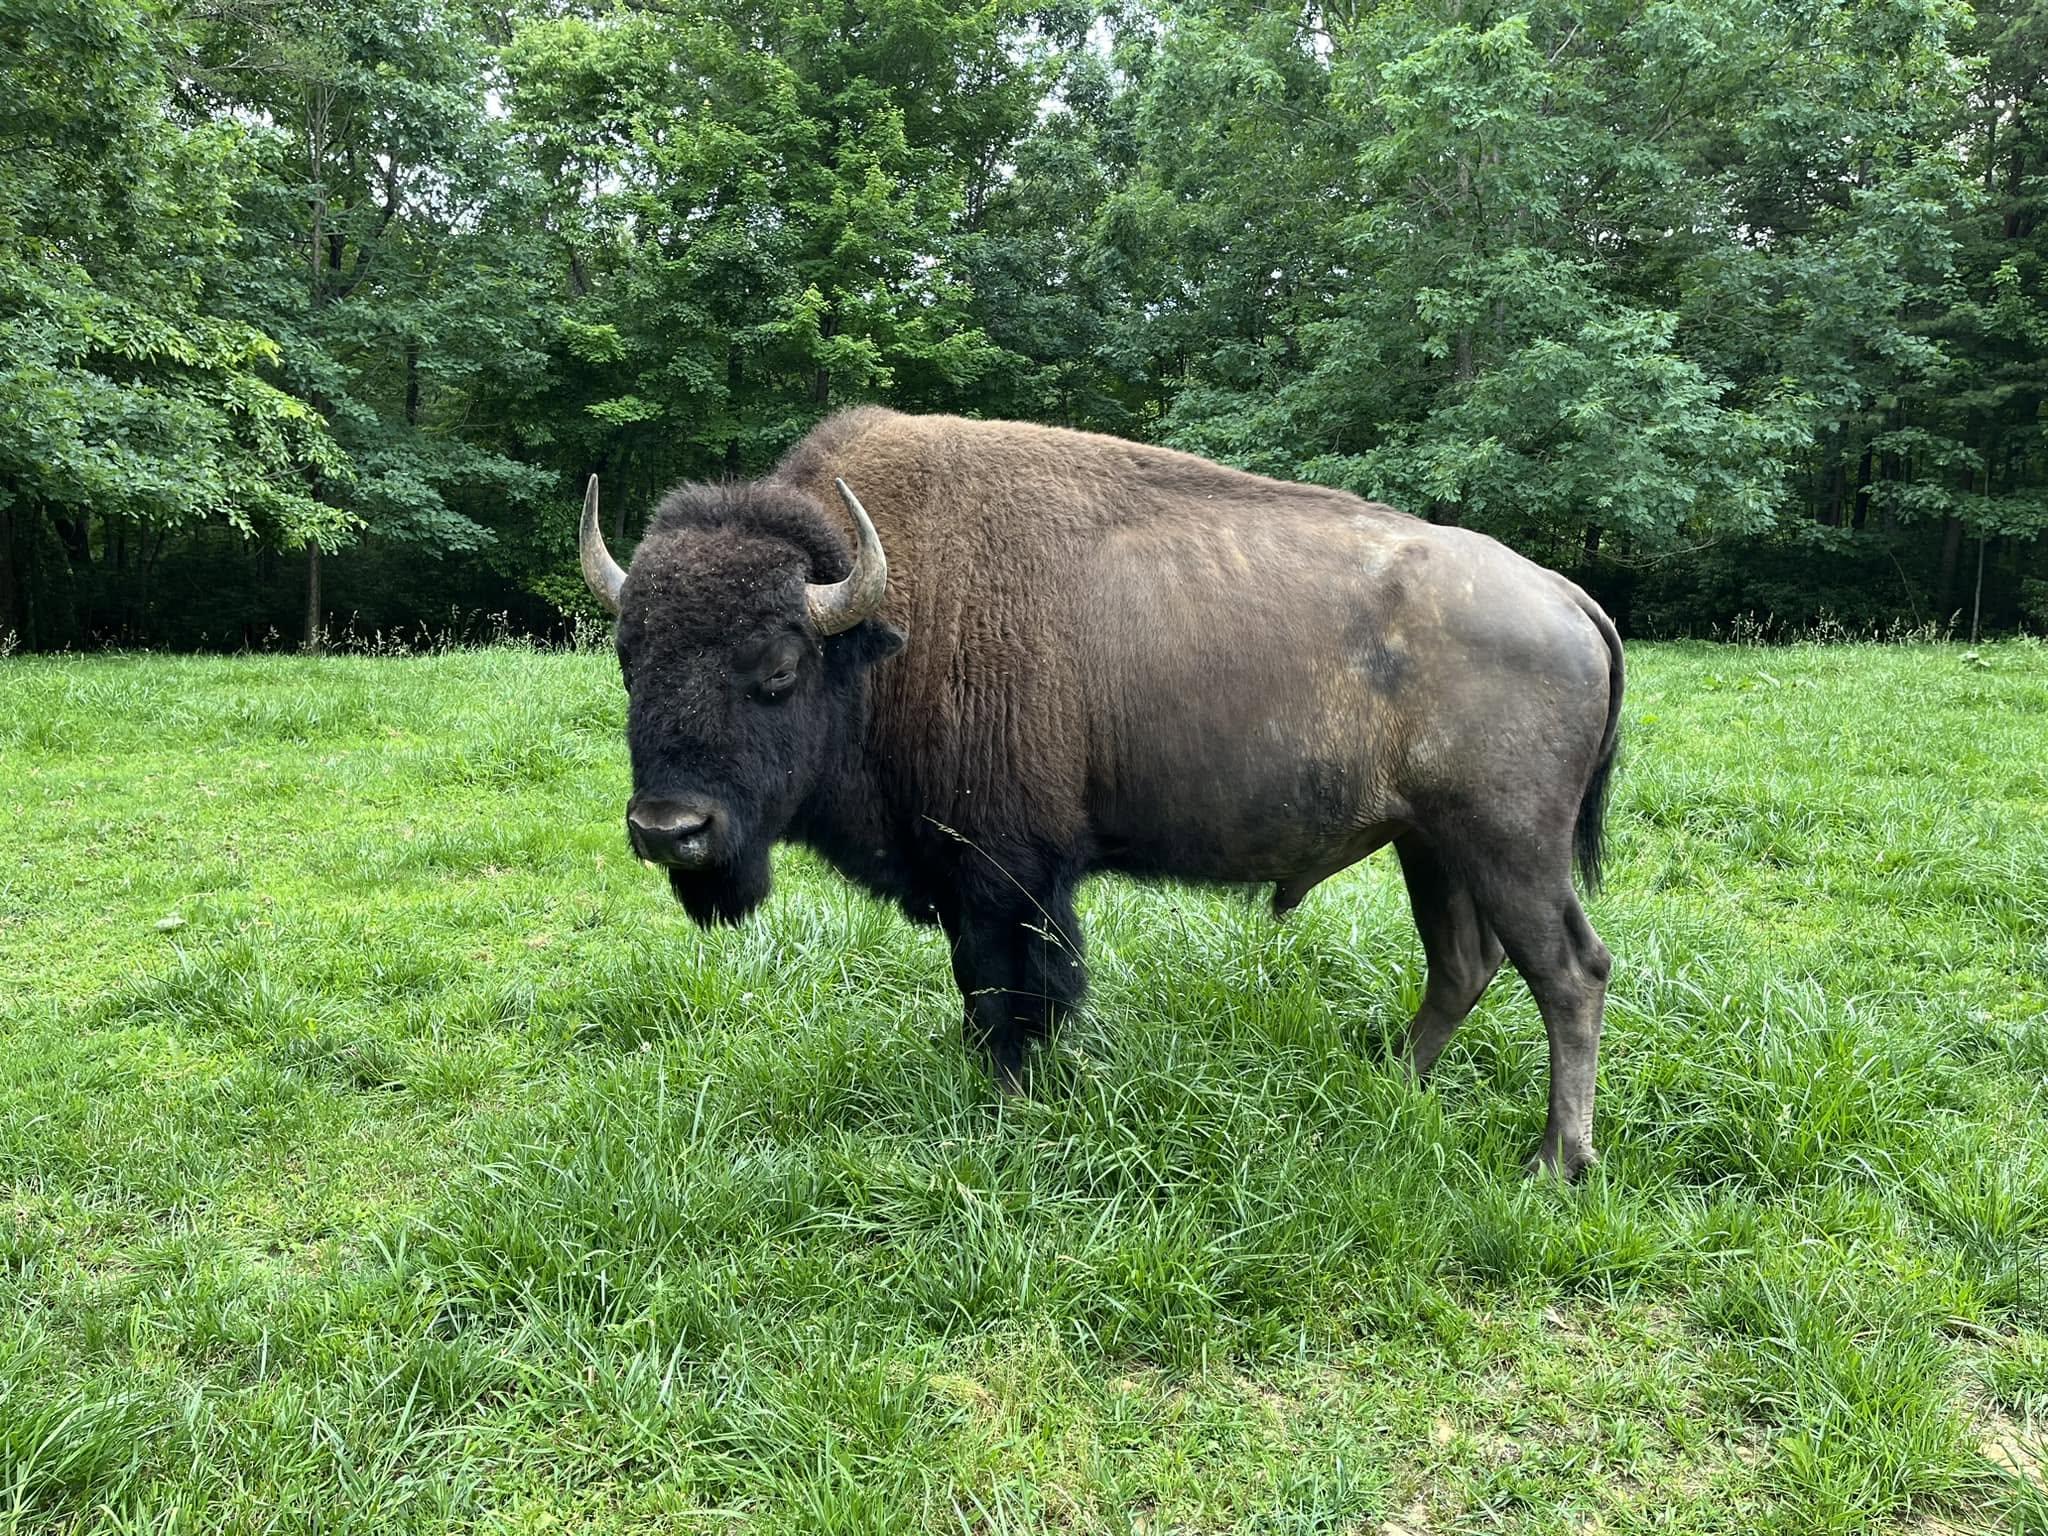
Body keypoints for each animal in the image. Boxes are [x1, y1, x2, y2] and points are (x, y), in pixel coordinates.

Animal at [580, 408, 1623, 1176]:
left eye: (779, 670)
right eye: (629, 659)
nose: (669, 829)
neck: (882, 626)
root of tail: (1565, 595)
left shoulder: (1006, 878)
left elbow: (1013, 991)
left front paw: (1011, 1102)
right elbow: (985, 991)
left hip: (1508, 846)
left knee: (1569, 971)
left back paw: (1556, 1161)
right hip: (1431, 844)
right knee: (1463, 966)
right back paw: (1393, 1086)